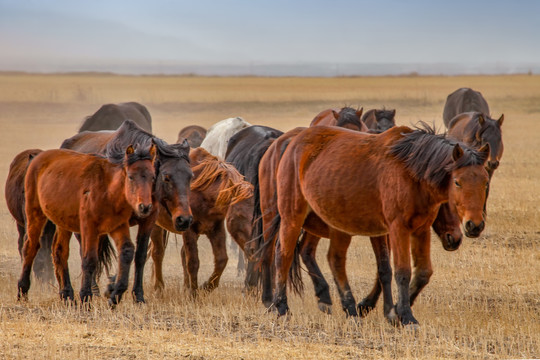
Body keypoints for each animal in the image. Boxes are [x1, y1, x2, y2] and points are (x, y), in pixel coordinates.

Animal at [18, 143, 156, 304]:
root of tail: (36, 159)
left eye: (153, 177)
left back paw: (67, 295)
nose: (145, 207)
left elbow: (127, 251)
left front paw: (115, 296)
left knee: (59, 251)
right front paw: (86, 297)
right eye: (131, 176)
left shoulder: (117, 226)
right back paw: (22, 290)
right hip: (35, 214)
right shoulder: (89, 228)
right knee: (30, 247)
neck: (107, 191)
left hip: (63, 222)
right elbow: (89, 260)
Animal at [258, 124, 490, 326]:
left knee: (332, 259)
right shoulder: (397, 229)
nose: (474, 226)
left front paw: (392, 312)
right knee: (282, 255)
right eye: (457, 182)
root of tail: (292, 142)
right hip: (290, 217)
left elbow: (420, 272)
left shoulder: (419, 230)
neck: (410, 171)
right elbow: (401, 271)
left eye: (485, 182)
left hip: (335, 224)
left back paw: (347, 307)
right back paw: (280, 306)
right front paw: (406, 316)